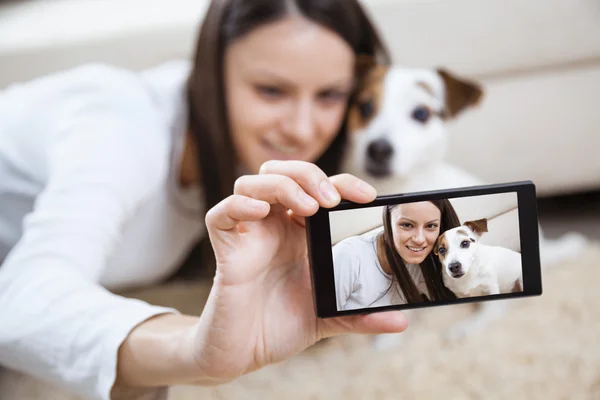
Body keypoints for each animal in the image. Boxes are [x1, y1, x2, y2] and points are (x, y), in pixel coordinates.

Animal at [336, 57, 588, 348]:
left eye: (421, 114)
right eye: (365, 107)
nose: (378, 149)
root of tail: (544, 248)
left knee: (497, 307)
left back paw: (467, 328)